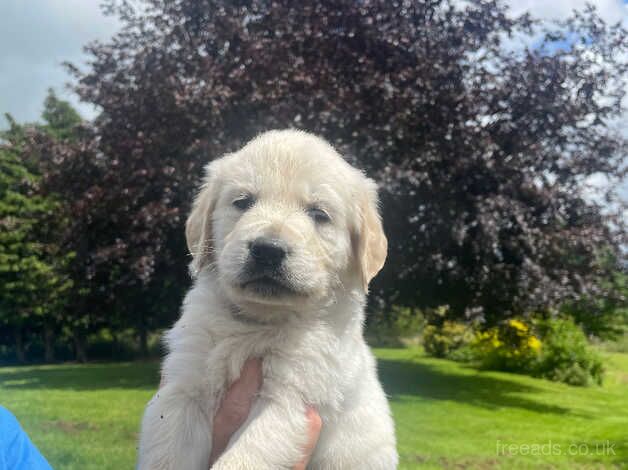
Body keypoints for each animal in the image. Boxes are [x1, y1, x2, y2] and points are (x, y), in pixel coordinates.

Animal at [138, 129, 398, 470]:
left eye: (319, 213)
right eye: (243, 202)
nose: (267, 250)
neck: (259, 321)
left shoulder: (290, 397)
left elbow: (242, 459)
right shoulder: (183, 386)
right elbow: (166, 453)